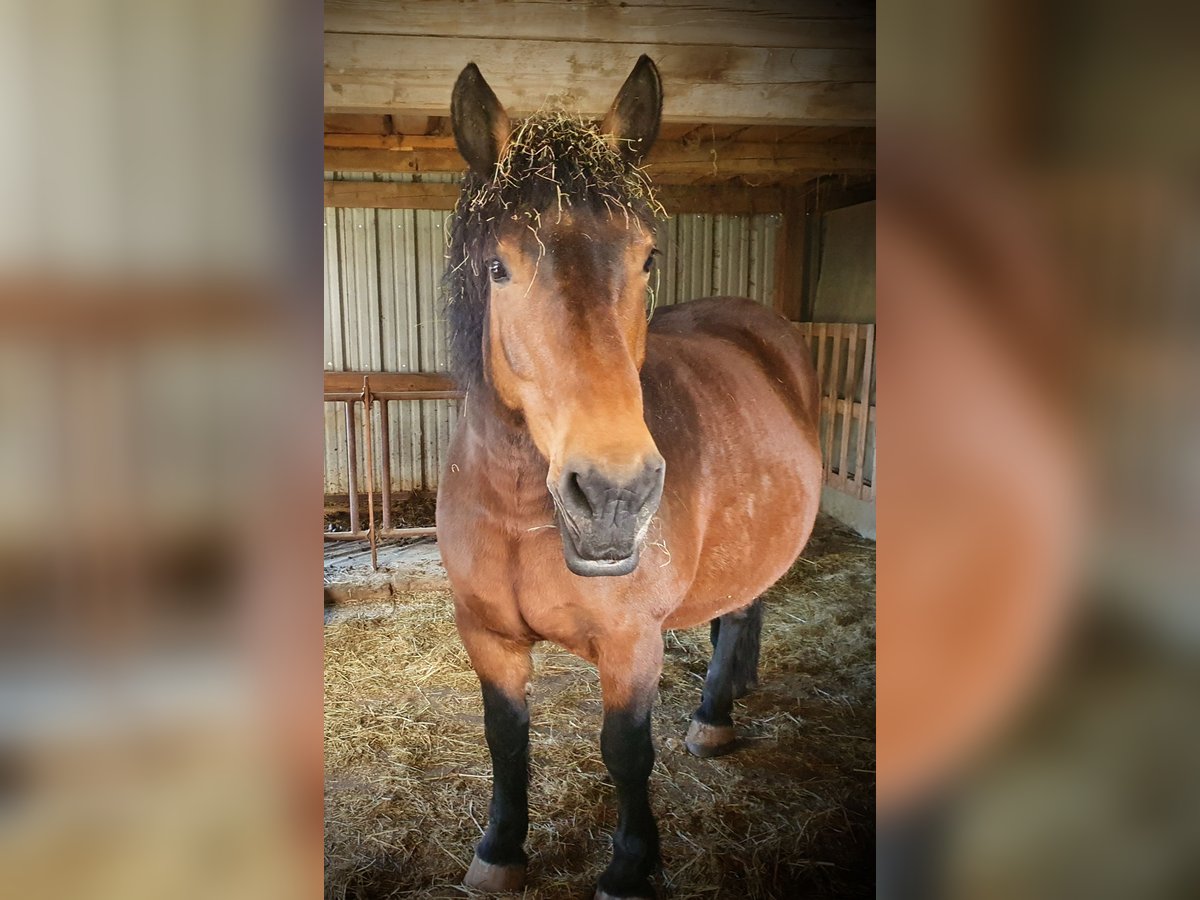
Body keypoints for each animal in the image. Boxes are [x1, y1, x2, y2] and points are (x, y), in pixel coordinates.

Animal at [439, 56, 825, 900]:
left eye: (647, 257)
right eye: (498, 266)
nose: (613, 495)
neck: (519, 509)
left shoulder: (630, 644)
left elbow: (625, 754)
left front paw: (628, 868)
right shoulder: (487, 636)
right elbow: (504, 739)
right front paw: (500, 851)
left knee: (741, 613)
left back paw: (712, 719)